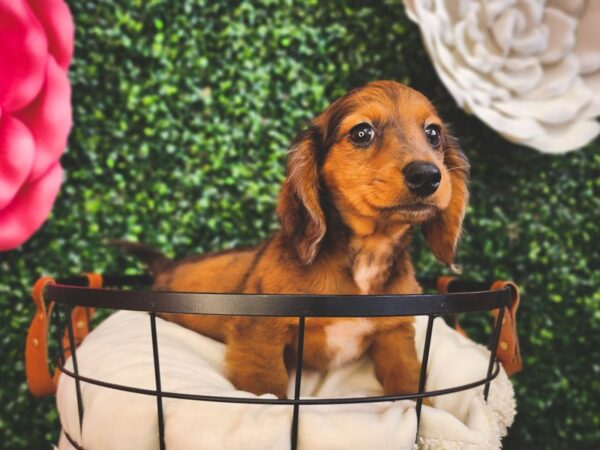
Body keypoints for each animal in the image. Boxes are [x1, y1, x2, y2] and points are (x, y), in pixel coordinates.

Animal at [120, 80, 468, 398]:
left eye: (433, 134)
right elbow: (269, 387)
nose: (427, 176)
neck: (367, 255)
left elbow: (408, 380)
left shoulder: (395, 333)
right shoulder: (260, 333)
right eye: (362, 133)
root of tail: (166, 266)